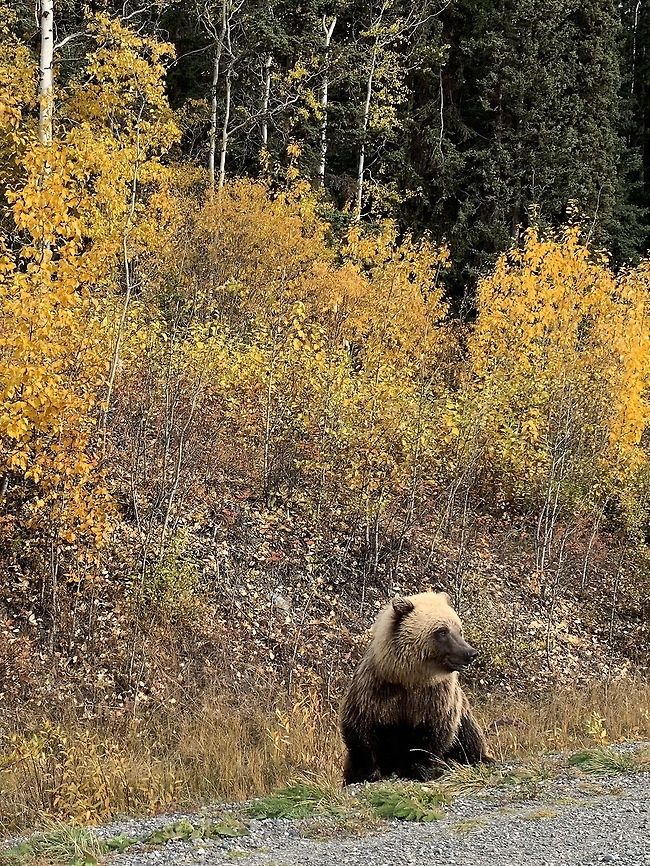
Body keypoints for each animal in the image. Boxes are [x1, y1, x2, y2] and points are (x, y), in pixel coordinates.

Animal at [340, 591, 493, 785]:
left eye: (459, 630)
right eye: (442, 631)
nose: (470, 653)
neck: (409, 678)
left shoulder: (436, 697)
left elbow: (434, 733)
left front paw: (421, 770)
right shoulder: (375, 691)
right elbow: (361, 730)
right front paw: (367, 773)